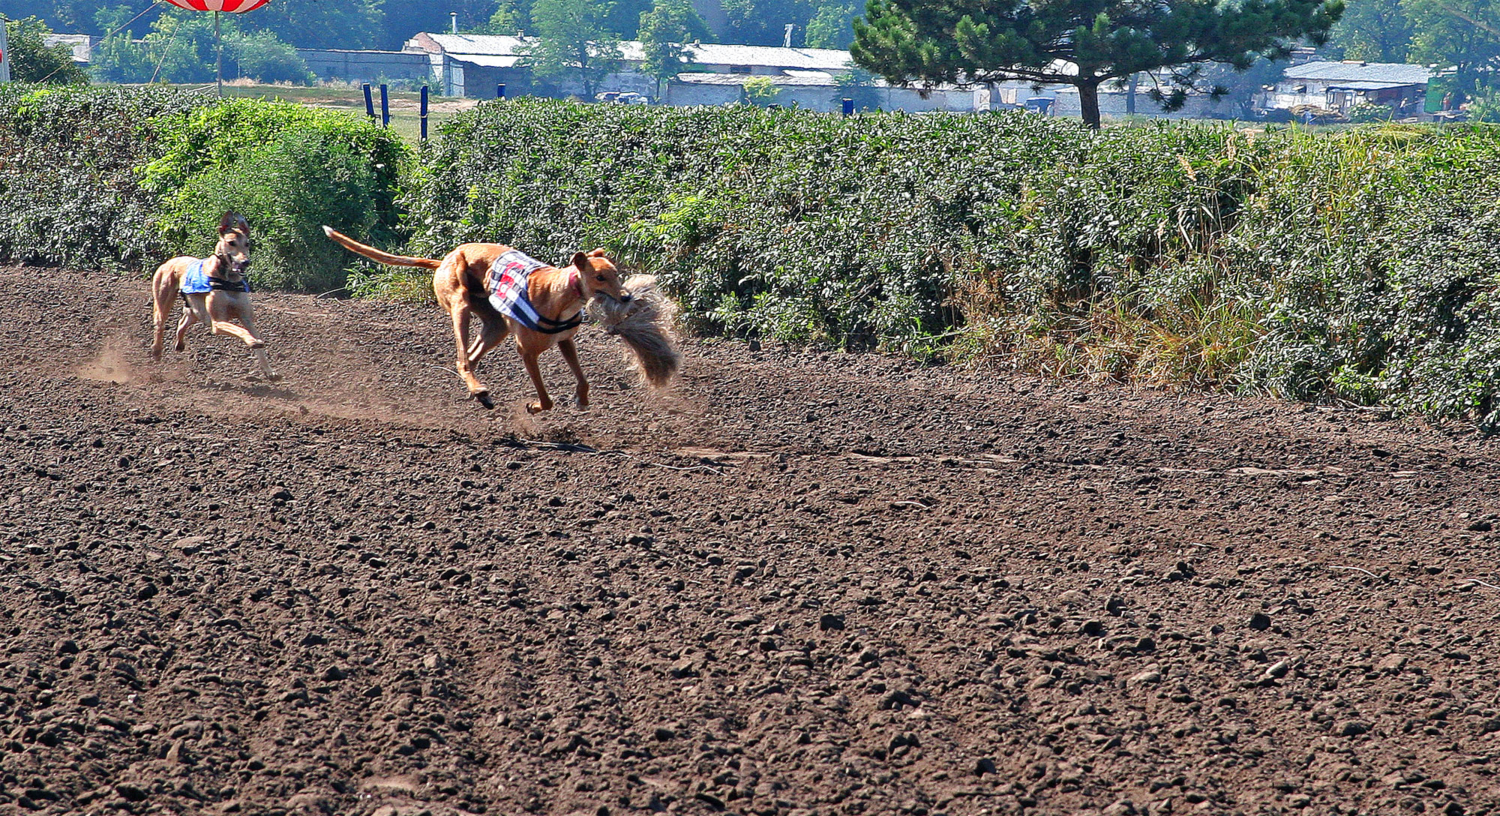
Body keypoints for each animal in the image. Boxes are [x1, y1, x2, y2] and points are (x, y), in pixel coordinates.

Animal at [150, 208, 279, 378]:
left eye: (247, 243)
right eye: (231, 243)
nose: (246, 262)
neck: (229, 281)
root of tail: (170, 261)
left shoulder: (247, 318)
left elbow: (258, 343)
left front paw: (269, 371)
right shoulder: (217, 322)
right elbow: (241, 330)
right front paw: (252, 341)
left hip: (197, 310)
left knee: (183, 322)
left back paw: (180, 344)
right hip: (163, 299)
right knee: (160, 324)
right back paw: (157, 351)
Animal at [325, 226, 630, 411]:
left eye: (616, 273)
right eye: (599, 277)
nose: (627, 297)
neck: (559, 292)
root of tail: (444, 259)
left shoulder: (566, 342)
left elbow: (583, 378)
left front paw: (582, 399)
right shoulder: (527, 352)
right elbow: (545, 398)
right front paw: (534, 407)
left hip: (495, 327)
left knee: (470, 357)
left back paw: (479, 393)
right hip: (460, 305)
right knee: (462, 359)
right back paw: (479, 389)